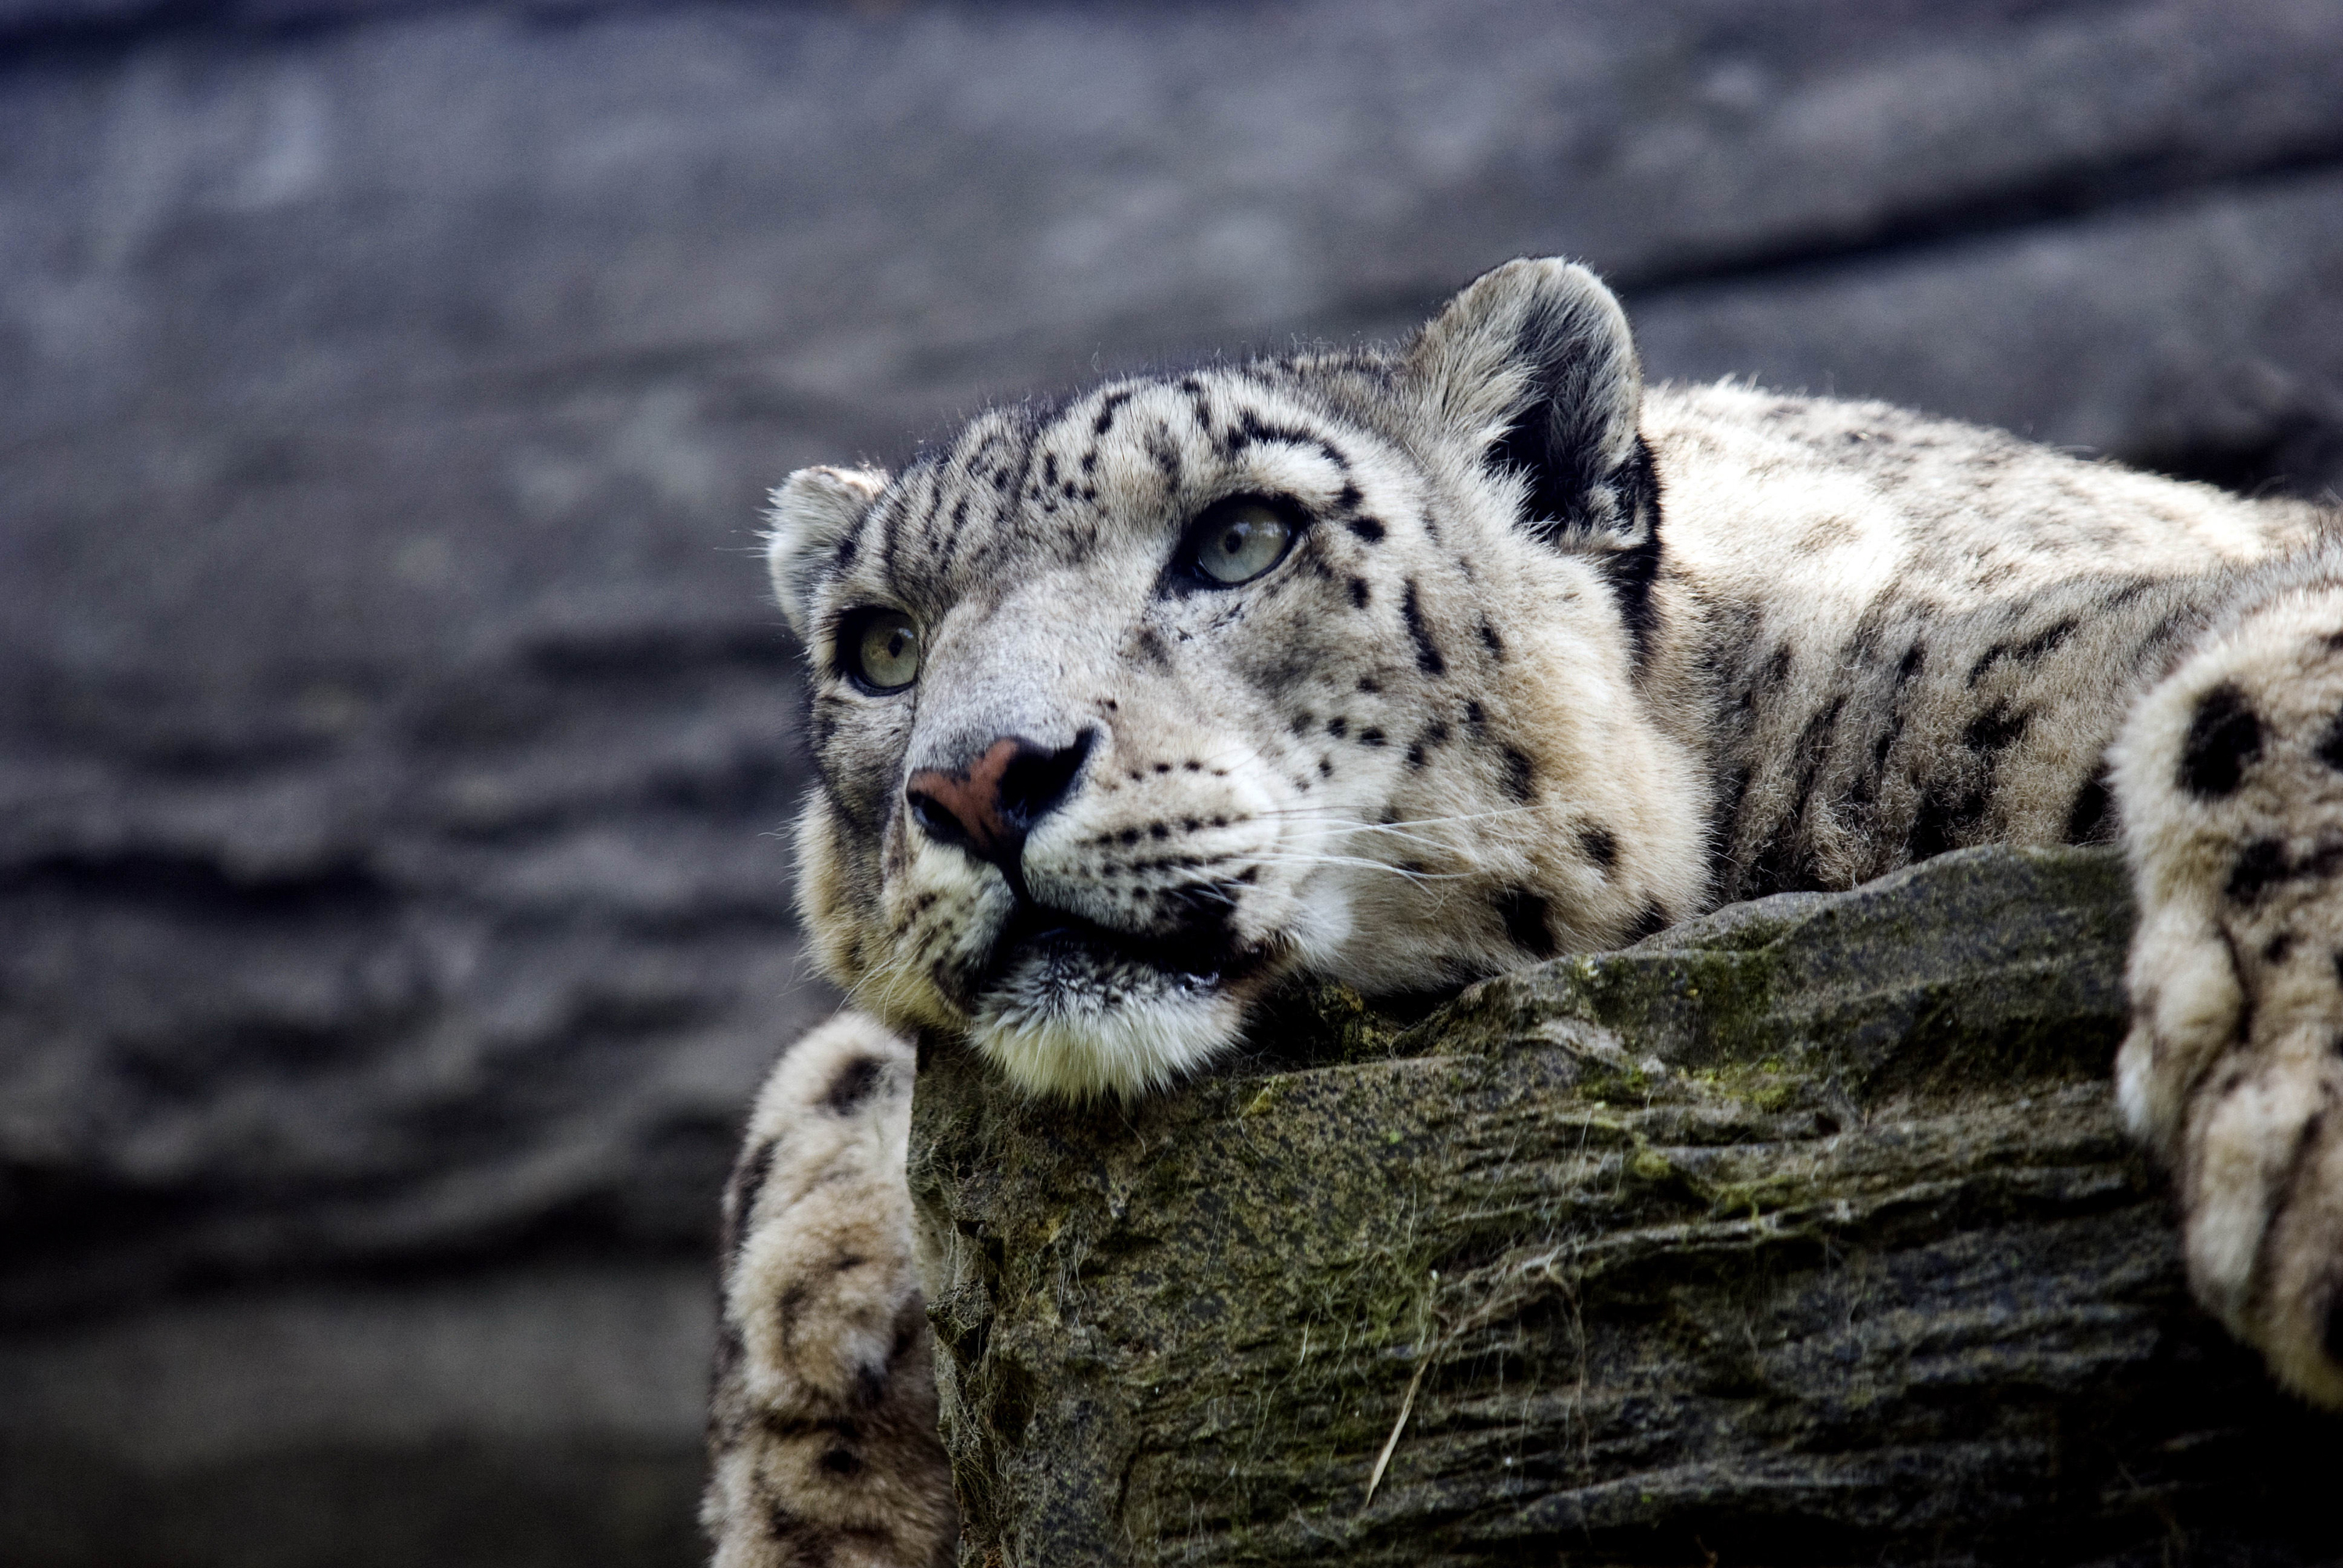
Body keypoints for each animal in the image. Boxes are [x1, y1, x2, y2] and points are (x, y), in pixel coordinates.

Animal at [698, 256, 2343, 1565]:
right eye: (882, 644)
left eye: (1241, 536)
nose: (977, 780)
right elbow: (825, 1074)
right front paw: (812, 1486)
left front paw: (2308, 1164)